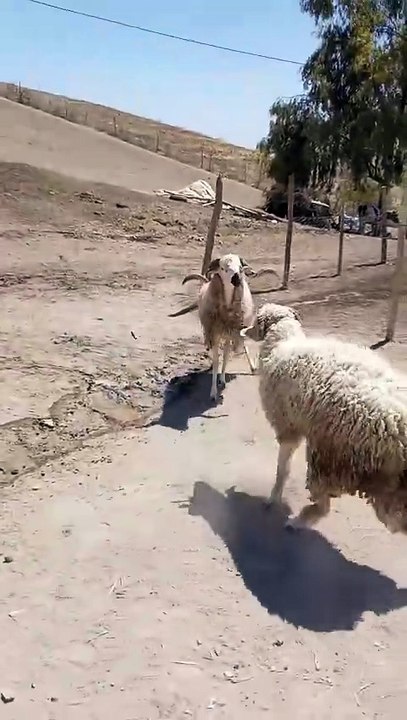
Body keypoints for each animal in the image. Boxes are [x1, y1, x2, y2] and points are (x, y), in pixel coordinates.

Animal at [169, 253, 279, 402]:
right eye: (222, 268)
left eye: (240, 267)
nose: (237, 278)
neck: (226, 308)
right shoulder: (215, 334)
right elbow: (217, 361)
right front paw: (213, 392)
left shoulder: (230, 332)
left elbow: (226, 356)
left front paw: (222, 380)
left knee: (240, 345)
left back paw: (251, 367)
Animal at [240, 302, 407, 535]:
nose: (244, 330)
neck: (282, 343)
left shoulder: (288, 426)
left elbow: (283, 469)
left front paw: (273, 497)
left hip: (330, 459)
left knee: (323, 505)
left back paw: (297, 522)